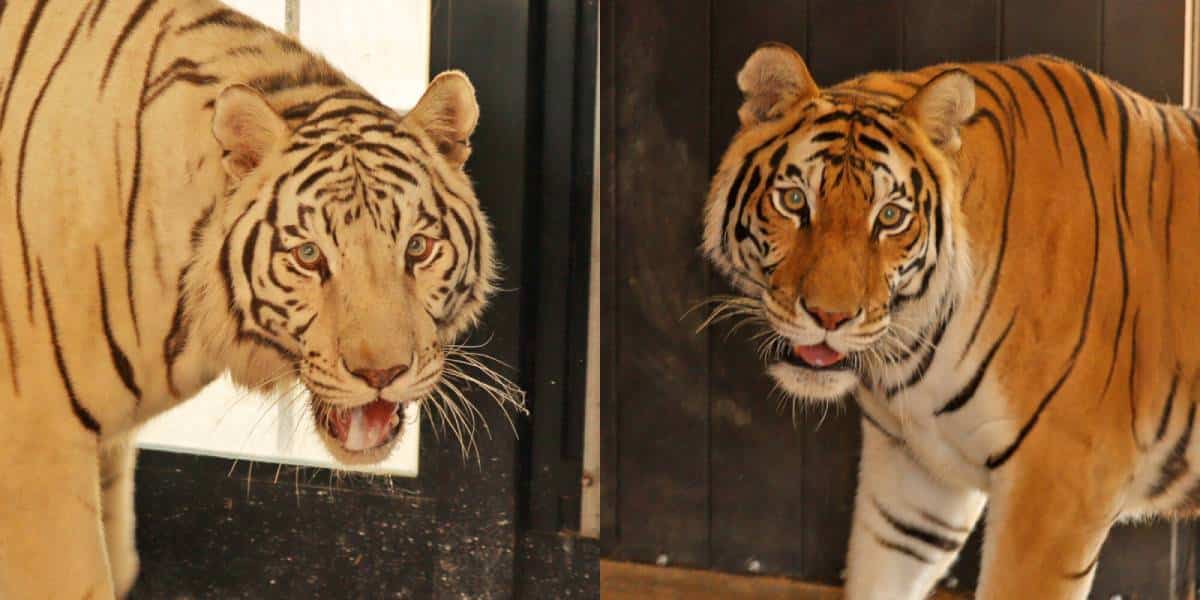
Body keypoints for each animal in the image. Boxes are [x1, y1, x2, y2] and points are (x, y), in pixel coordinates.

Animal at [703, 42, 1200, 599]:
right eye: (793, 201)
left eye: (890, 216)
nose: (830, 315)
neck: (918, 347)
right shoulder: (913, 487)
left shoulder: (1059, 490)